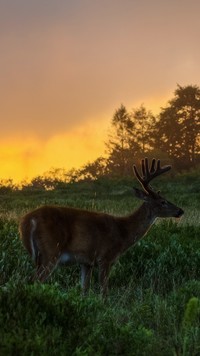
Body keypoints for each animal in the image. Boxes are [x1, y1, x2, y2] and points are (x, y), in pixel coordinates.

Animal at [19, 158, 184, 294]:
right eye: (163, 202)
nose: (180, 211)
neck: (123, 232)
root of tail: (27, 220)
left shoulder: (86, 262)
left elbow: (84, 289)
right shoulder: (105, 257)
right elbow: (104, 291)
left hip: (40, 255)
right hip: (51, 251)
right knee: (34, 281)